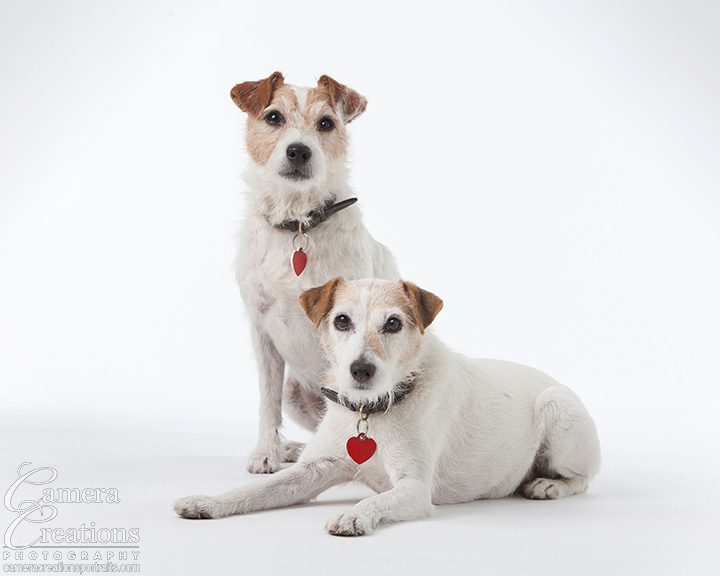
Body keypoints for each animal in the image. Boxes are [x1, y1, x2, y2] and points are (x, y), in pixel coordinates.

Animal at [175, 278, 602, 535]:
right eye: (341, 321)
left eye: (393, 323)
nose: (361, 369)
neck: (371, 411)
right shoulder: (311, 473)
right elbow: (252, 490)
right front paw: (207, 502)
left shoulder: (414, 488)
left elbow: (376, 498)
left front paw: (354, 513)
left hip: (558, 407)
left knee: (583, 478)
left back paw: (548, 484)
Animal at [230, 72, 399, 473]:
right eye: (273, 117)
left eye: (326, 123)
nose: (298, 151)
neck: (298, 223)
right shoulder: (261, 331)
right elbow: (267, 401)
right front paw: (267, 453)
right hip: (294, 393)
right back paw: (291, 449)